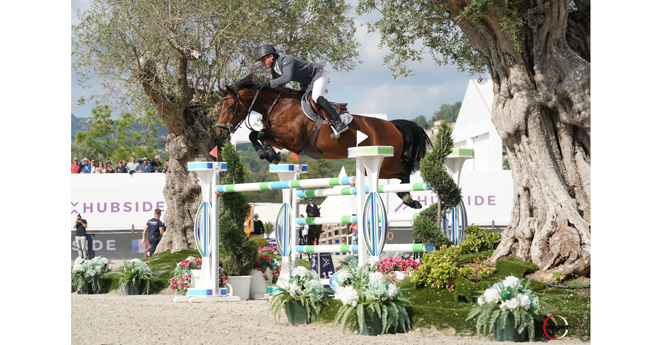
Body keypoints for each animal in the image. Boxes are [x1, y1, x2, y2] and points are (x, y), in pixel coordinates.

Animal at [217, 74, 434, 208]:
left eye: (230, 107)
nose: (219, 133)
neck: (278, 105)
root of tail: (393, 125)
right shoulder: (281, 139)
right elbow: (256, 135)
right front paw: (269, 154)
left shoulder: (293, 138)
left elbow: (260, 133)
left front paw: (270, 154)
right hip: (381, 169)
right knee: (399, 173)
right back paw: (407, 198)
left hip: (388, 160)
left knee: (407, 167)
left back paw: (409, 198)